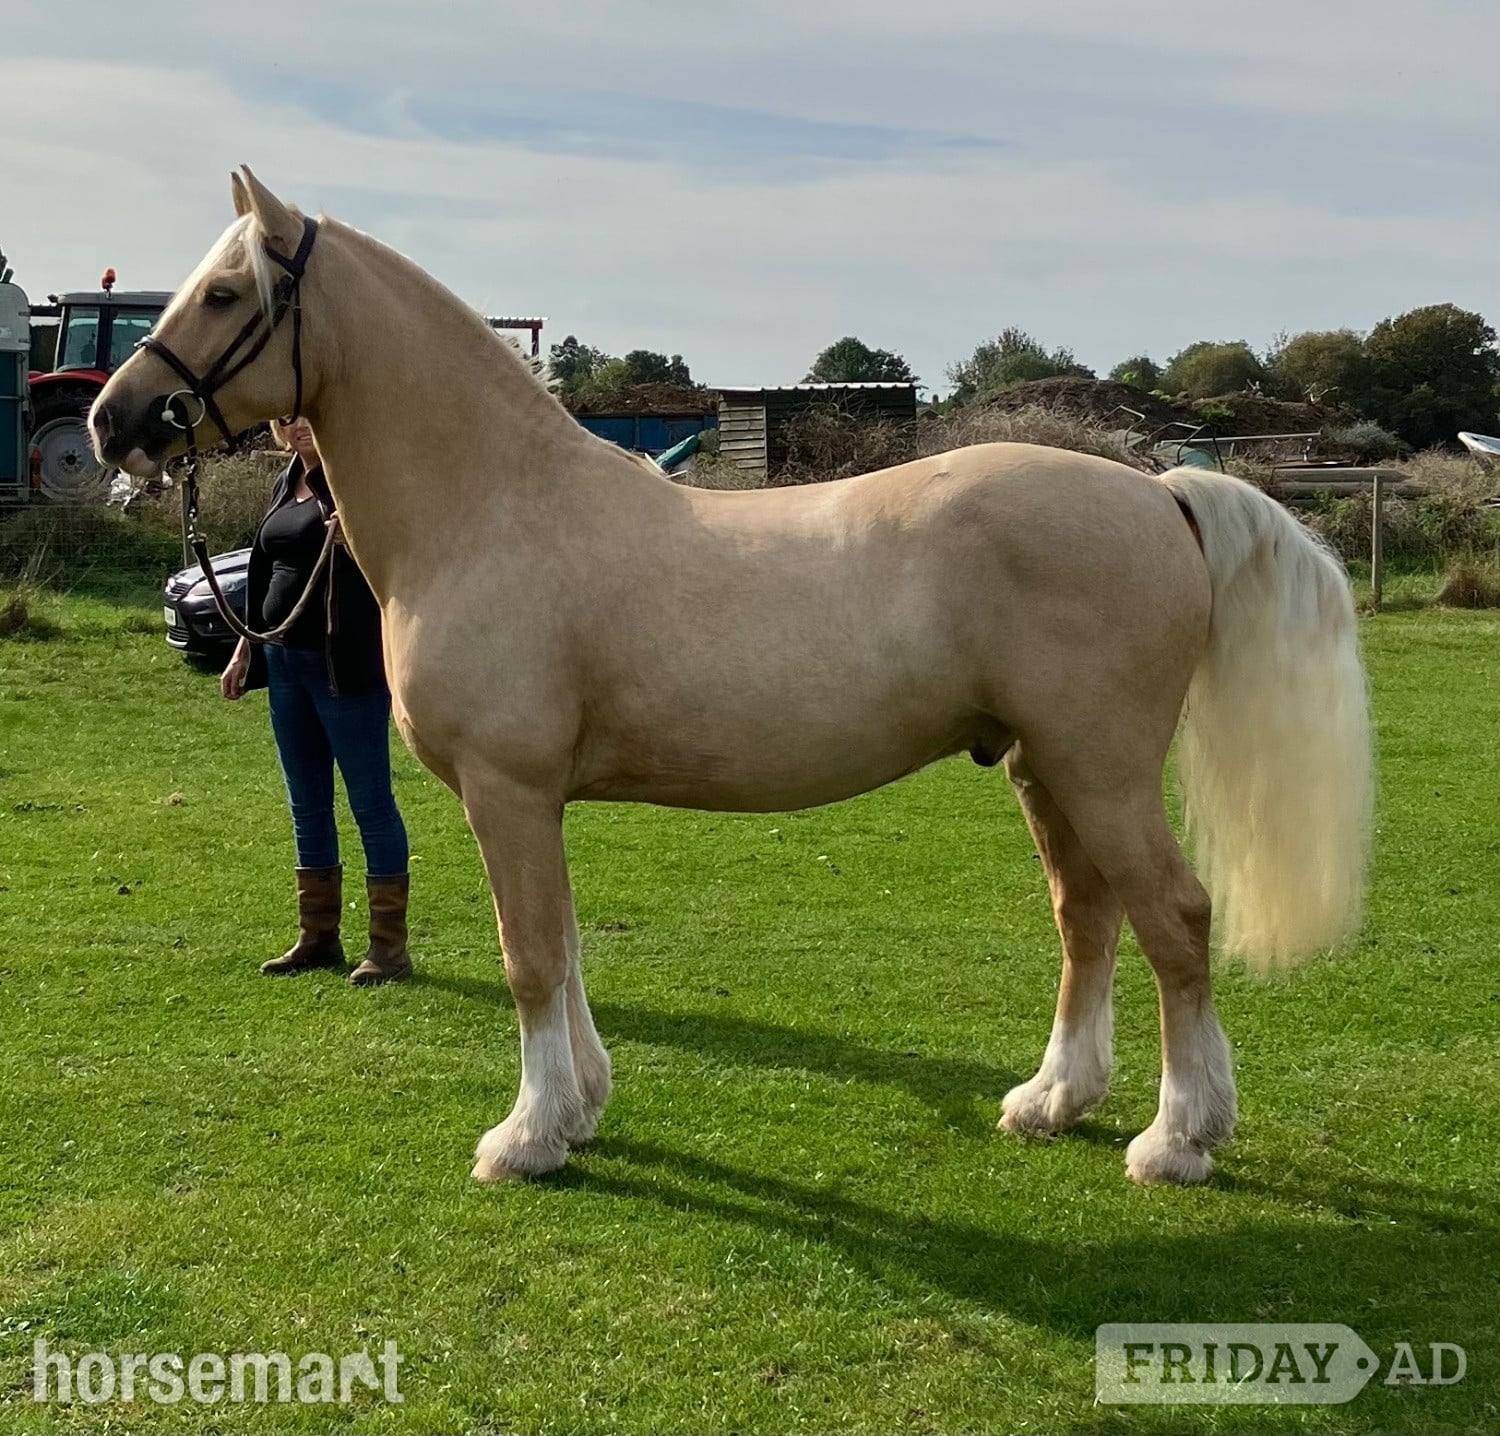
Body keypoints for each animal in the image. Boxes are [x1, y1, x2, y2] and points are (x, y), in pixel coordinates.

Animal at [92, 169, 1372, 1187]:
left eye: (222, 294)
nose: (113, 421)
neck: (492, 505)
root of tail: (1158, 492)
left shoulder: (507, 790)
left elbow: (530, 957)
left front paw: (525, 1138)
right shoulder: (538, 802)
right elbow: (565, 948)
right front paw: (580, 1108)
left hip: (1098, 770)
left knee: (1176, 918)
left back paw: (1179, 1138)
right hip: (1043, 769)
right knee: (1088, 917)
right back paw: (1053, 1101)